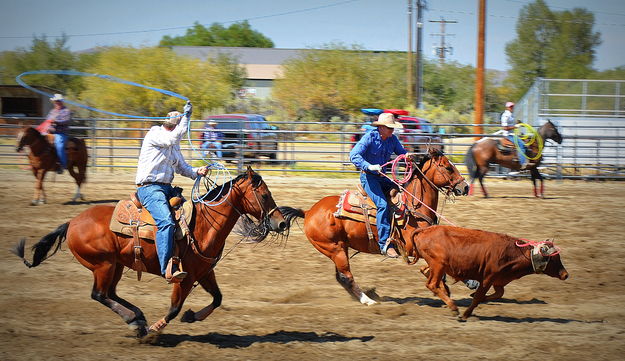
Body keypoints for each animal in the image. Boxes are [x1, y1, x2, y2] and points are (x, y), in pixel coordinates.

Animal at [14, 167, 288, 338]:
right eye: (265, 195)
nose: (282, 223)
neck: (201, 226)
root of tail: (71, 223)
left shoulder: (204, 272)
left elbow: (218, 298)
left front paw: (192, 316)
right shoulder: (184, 277)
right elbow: (174, 307)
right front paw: (156, 329)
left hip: (116, 265)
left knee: (110, 293)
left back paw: (138, 317)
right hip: (102, 265)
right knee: (99, 294)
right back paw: (136, 322)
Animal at [280, 148, 468, 304]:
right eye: (448, 168)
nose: (465, 187)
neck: (413, 207)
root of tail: (308, 212)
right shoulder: (412, 248)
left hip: (340, 249)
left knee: (340, 277)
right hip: (334, 249)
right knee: (346, 276)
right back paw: (368, 301)